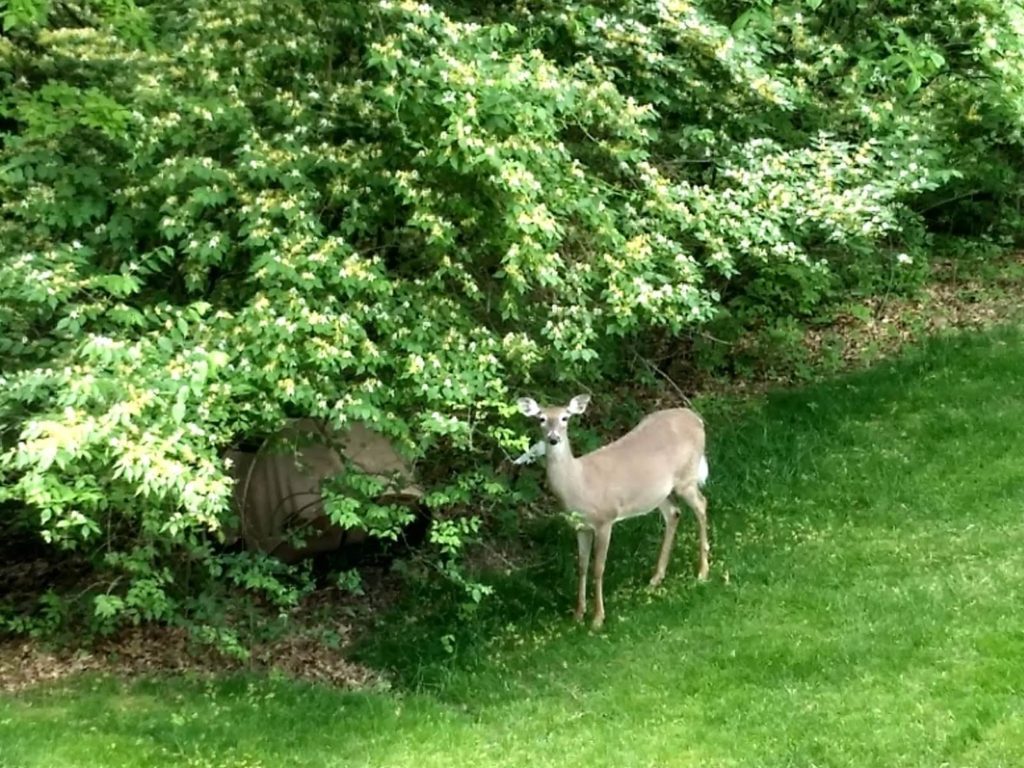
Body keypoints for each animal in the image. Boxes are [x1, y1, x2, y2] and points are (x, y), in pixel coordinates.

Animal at [516, 397, 708, 630]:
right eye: (541, 418)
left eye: (565, 417)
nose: (553, 439)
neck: (578, 484)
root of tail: (696, 419)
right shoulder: (580, 527)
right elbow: (582, 566)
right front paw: (578, 614)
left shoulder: (605, 519)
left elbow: (598, 568)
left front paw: (598, 618)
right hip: (658, 491)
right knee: (674, 512)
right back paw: (656, 577)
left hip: (686, 478)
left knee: (702, 506)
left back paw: (702, 572)